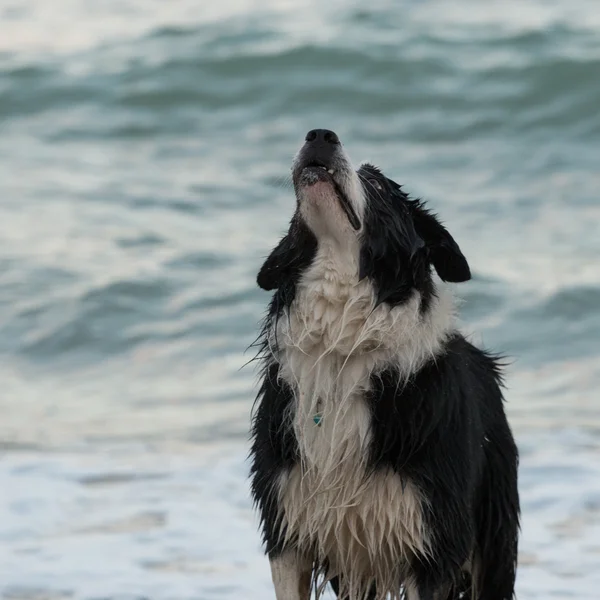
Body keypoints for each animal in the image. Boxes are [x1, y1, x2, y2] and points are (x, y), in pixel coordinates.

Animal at [250, 130, 520, 600]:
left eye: (375, 184)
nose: (320, 135)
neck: (341, 350)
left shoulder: (429, 544)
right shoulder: (289, 531)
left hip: (493, 537)